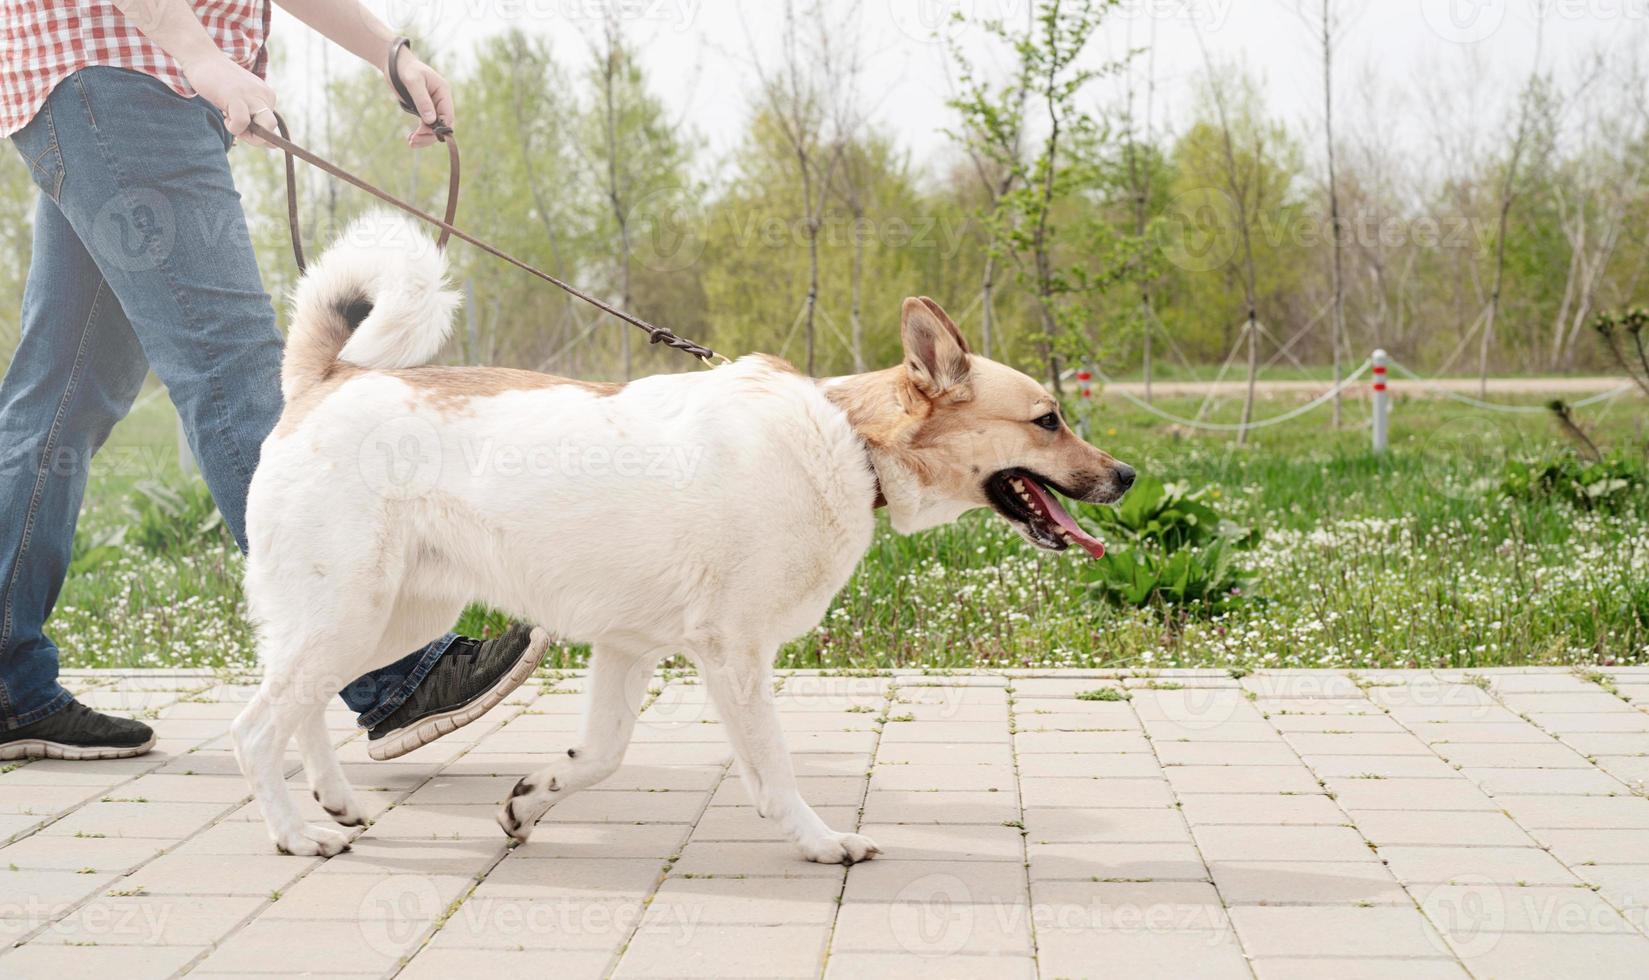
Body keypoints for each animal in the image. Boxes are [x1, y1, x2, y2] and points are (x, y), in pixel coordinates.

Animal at [232, 216, 1134, 864]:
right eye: (1047, 420)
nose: (1126, 475)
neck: (849, 441)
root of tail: (328, 380)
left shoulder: (627, 650)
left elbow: (600, 756)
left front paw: (530, 799)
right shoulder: (735, 656)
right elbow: (773, 770)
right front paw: (819, 841)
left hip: (388, 619)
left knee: (301, 710)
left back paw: (337, 801)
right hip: (348, 614)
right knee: (256, 727)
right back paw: (296, 833)